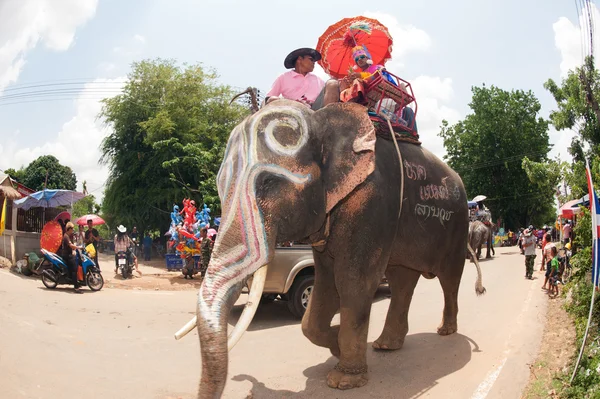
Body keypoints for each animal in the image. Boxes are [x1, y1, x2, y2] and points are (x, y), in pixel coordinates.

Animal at [175, 101, 488, 399]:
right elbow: (325, 283)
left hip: (456, 225)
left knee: (449, 279)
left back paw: (445, 331)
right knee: (402, 281)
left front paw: (343, 381)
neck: (322, 119)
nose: (240, 380)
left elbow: (353, 281)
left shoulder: (371, 200)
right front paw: (336, 345)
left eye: (269, 183)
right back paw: (385, 345)